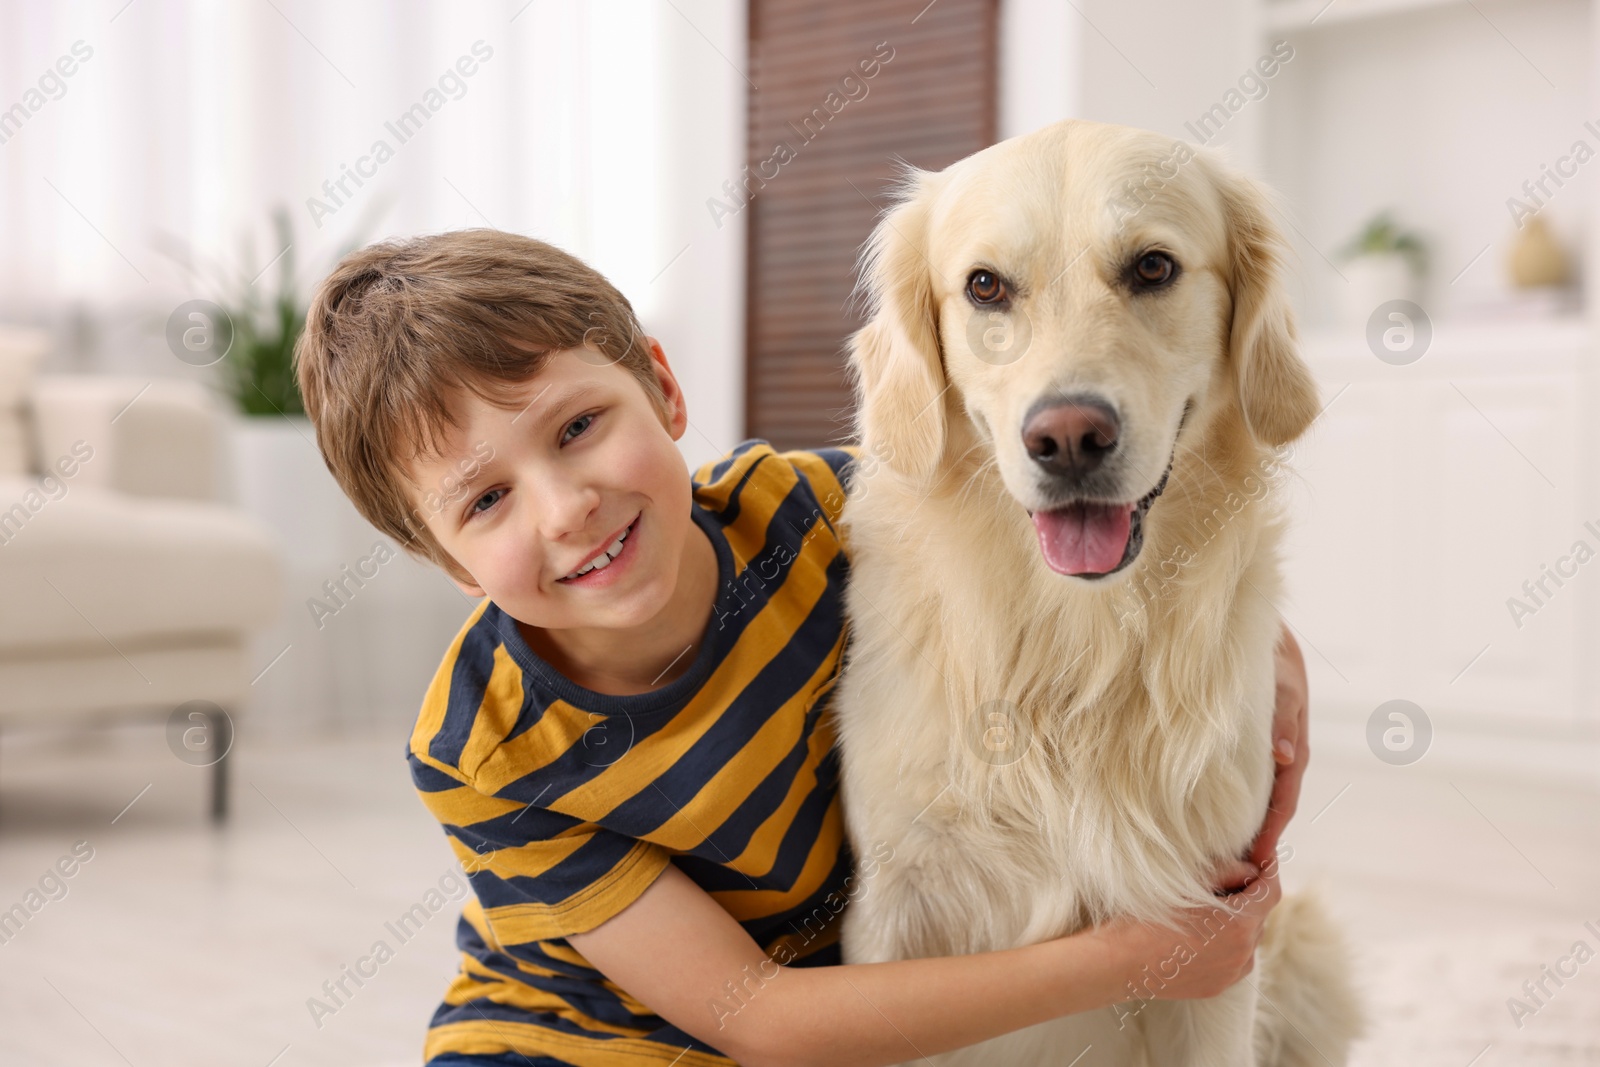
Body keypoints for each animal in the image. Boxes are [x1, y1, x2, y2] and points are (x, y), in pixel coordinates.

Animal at [832, 119, 1369, 1067]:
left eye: (1153, 267)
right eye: (984, 286)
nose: (1069, 437)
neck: (1077, 644)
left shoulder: (1219, 927)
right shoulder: (892, 913)